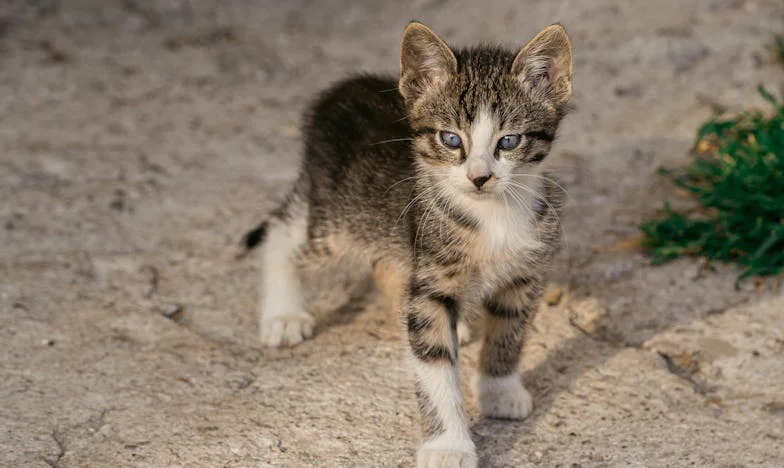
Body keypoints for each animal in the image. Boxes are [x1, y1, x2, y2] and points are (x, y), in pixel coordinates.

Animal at [248, 21, 572, 468]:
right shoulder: (430, 285)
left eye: (509, 142)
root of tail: (345, 87)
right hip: (338, 219)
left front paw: (499, 389)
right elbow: (434, 363)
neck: (492, 217)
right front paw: (448, 445)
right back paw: (283, 315)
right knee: (282, 230)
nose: (479, 177)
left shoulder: (525, 273)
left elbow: (510, 330)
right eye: (451, 139)